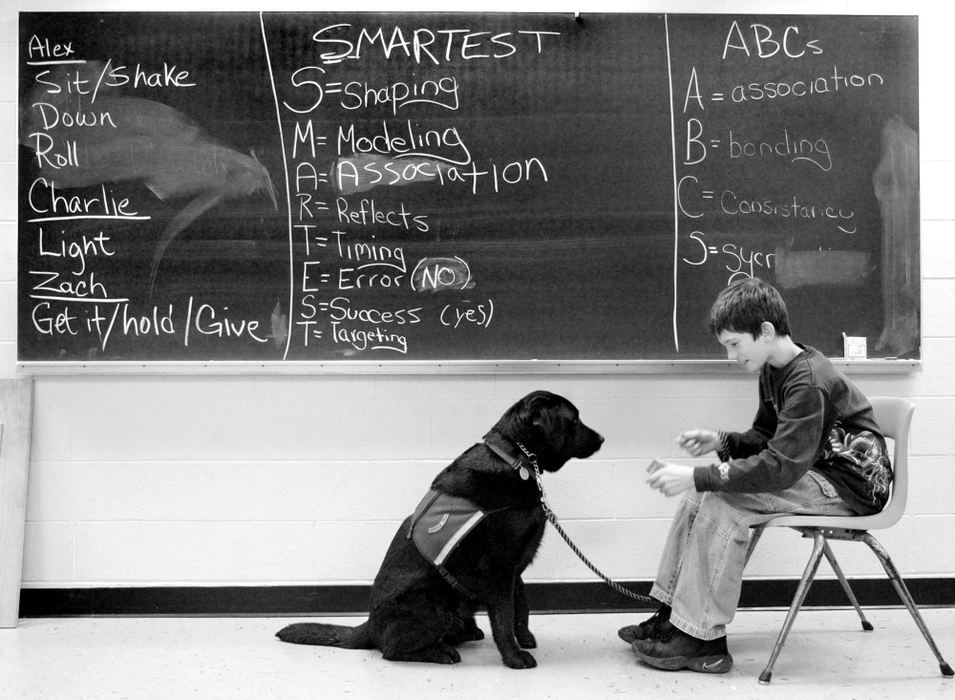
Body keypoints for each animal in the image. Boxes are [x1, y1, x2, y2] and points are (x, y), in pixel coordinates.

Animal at [278, 392, 604, 668]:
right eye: (575, 420)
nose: (602, 437)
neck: (515, 458)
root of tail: (370, 625)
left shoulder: (516, 565)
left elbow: (521, 606)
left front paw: (523, 639)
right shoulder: (499, 566)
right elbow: (504, 616)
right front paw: (514, 657)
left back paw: (465, 634)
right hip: (433, 603)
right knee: (390, 650)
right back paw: (441, 652)